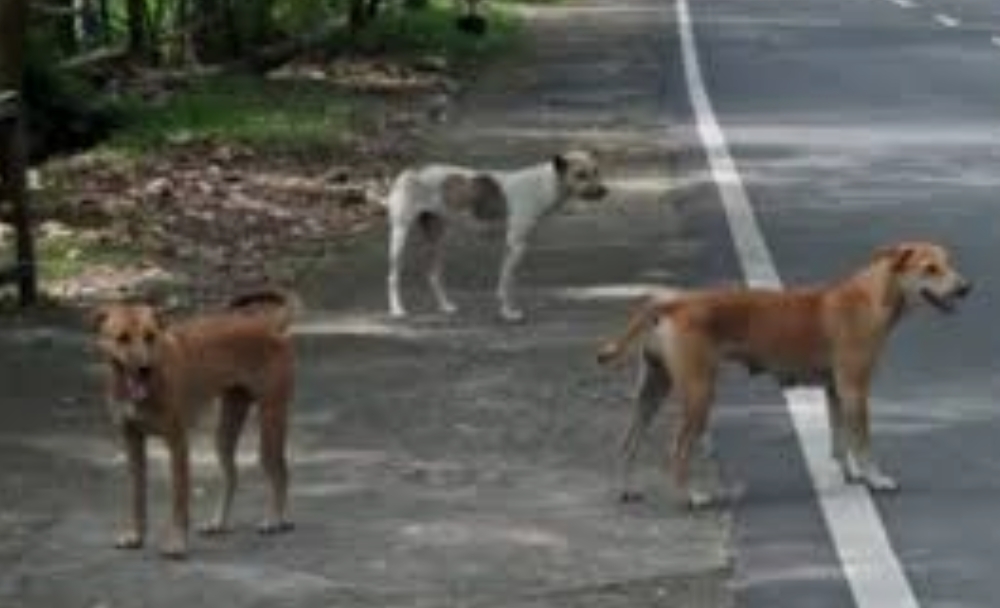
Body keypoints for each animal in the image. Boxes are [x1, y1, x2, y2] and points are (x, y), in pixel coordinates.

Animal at [92, 289, 297, 558]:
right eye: (122, 338)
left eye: (150, 336)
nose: (145, 368)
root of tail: (269, 326)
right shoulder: (132, 442)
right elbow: (137, 496)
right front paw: (136, 535)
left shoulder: (177, 443)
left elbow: (179, 499)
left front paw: (177, 542)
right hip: (225, 431)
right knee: (232, 476)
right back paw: (218, 522)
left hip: (270, 421)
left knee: (280, 472)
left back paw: (275, 519)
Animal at [384, 150, 609, 322]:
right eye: (580, 174)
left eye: (596, 171)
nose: (604, 191)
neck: (544, 185)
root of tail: (410, 171)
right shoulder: (516, 245)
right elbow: (508, 282)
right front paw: (509, 313)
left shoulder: (514, 247)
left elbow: (505, 280)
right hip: (400, 236)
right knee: (393, 276)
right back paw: (397, 310)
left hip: (437, 238)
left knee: (433, 275)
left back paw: (446, 307)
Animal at [596, 242, 971, 507]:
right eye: (930, 268)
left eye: (949, 261)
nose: (965, 287)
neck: (873, 295)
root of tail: (673, 304)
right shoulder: (855, 388)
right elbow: (862, 442)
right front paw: (876, 479)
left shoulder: (835, 391)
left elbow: (840, 440)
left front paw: (849, 475)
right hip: (698, 392)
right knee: (677, 448)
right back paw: (690, 495)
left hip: (653, 389)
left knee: (627, 442)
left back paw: (627, 489)